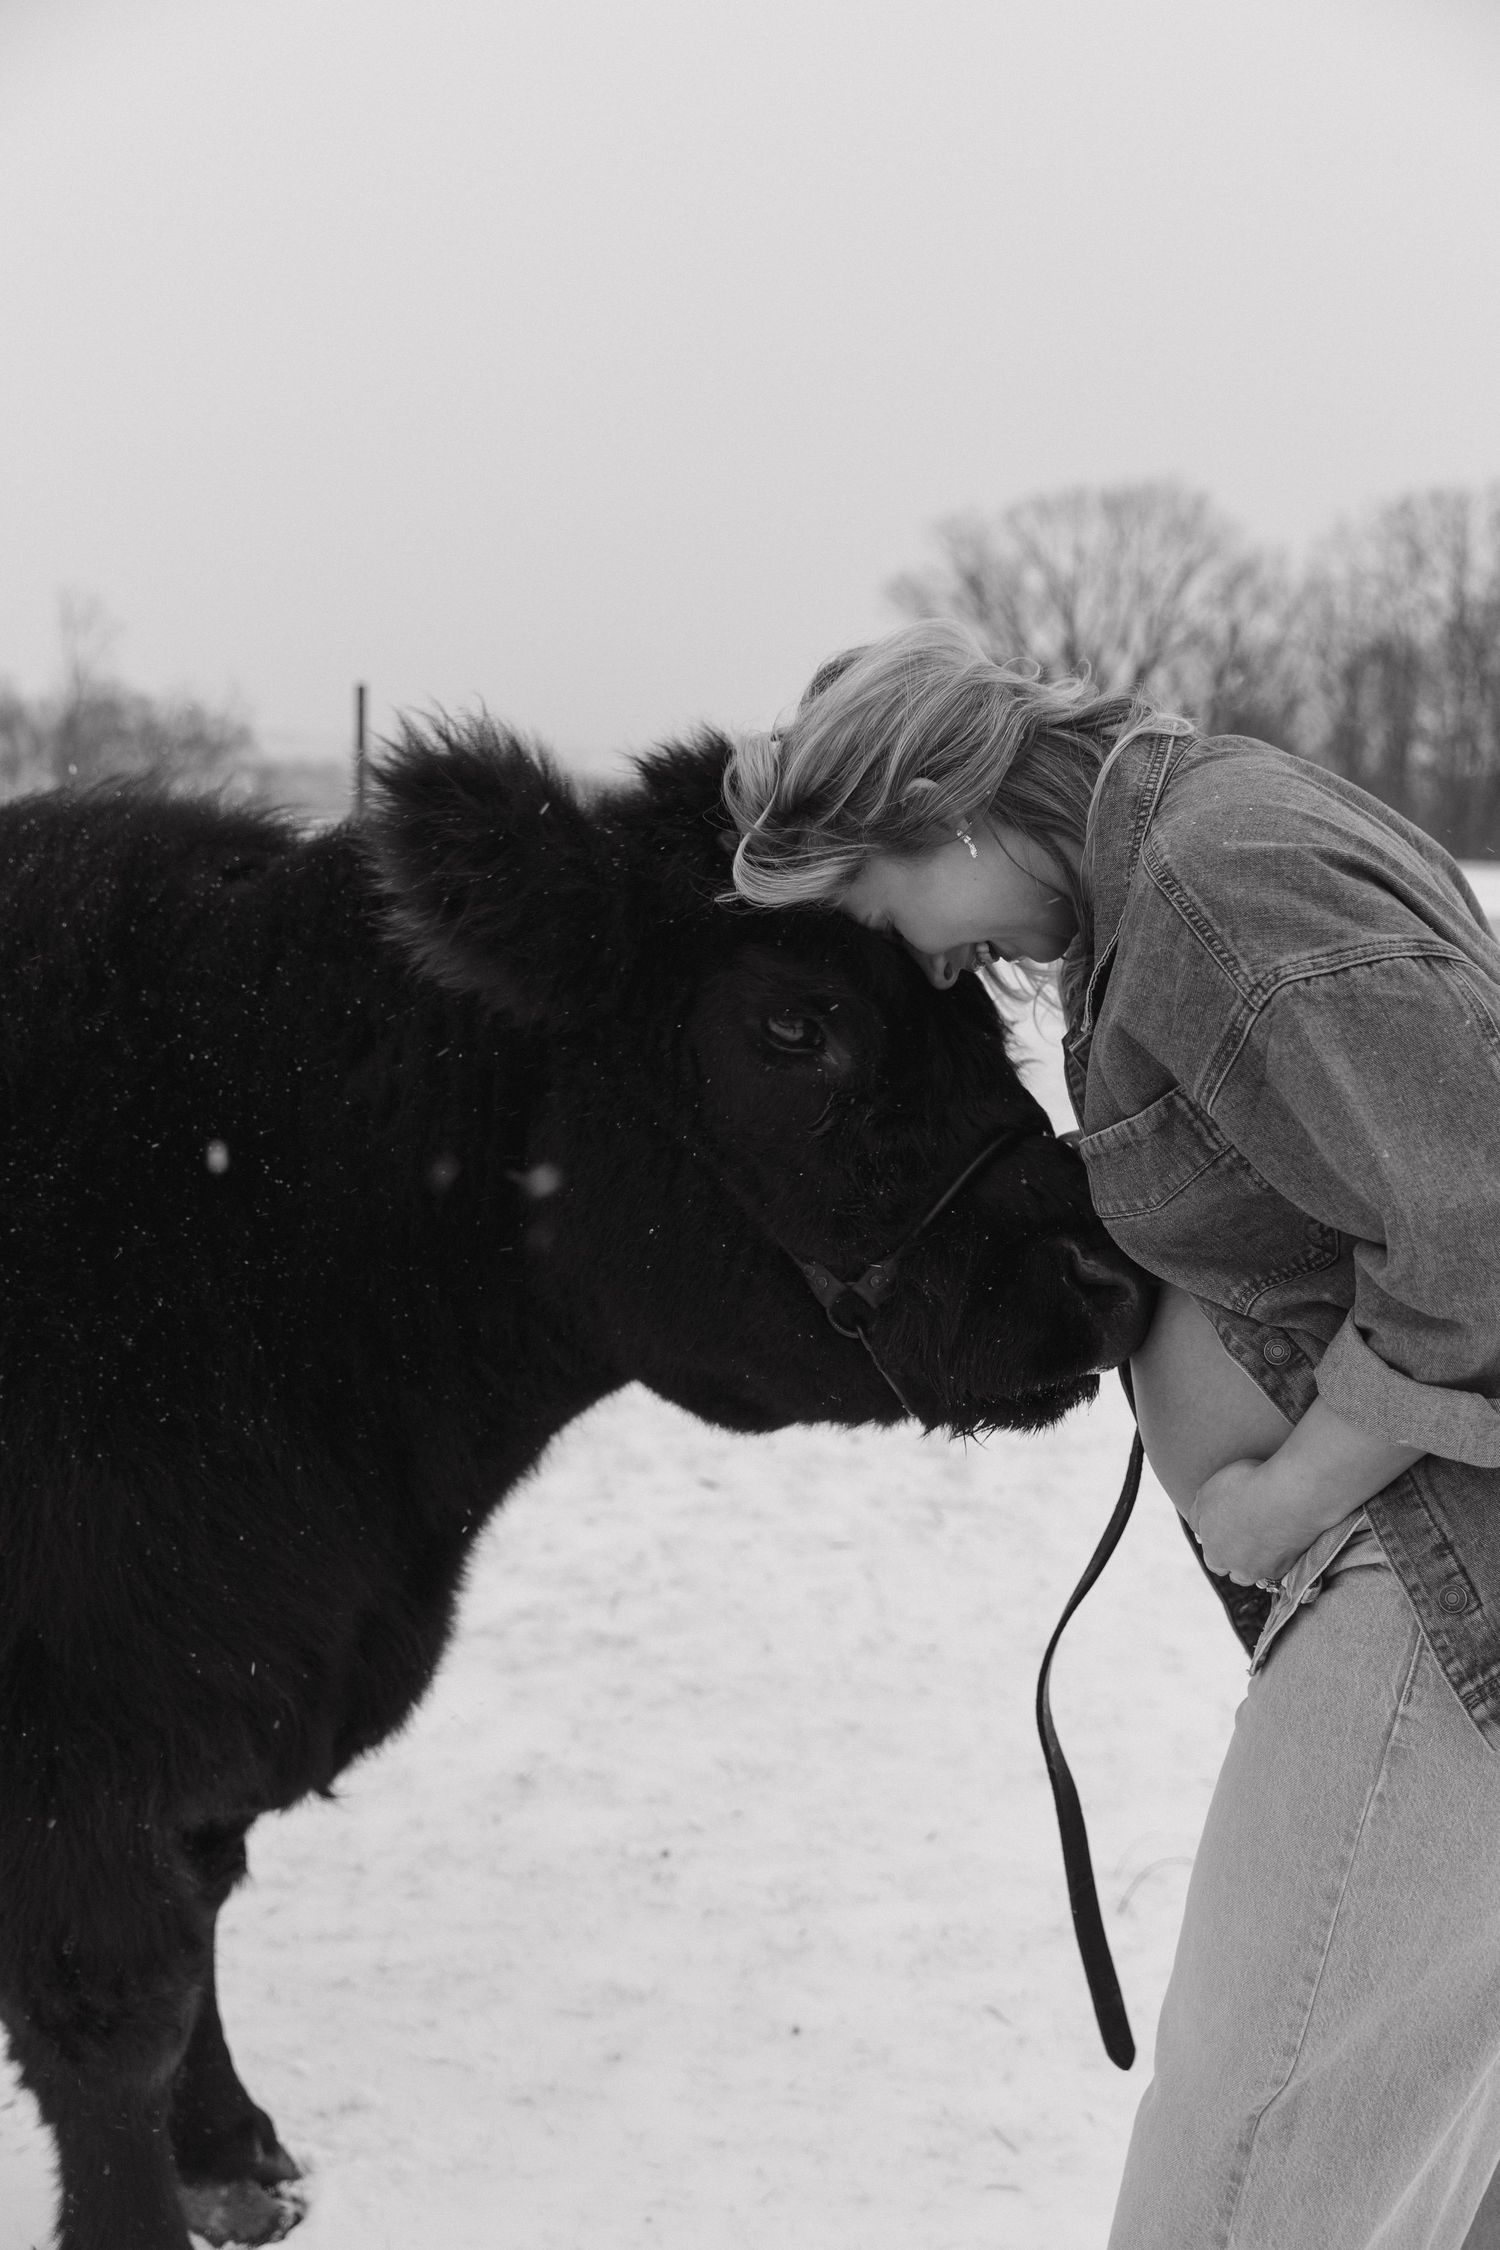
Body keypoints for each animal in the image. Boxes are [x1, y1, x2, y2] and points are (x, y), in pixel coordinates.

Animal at [0, 717, 1151, 2250]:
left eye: (969, 1001)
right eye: (795, 1025)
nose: (1098, 1269)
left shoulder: (221, 1693)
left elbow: (203, 1932)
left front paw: (235, 2156)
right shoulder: (82, 1748)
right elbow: (120, 2019)